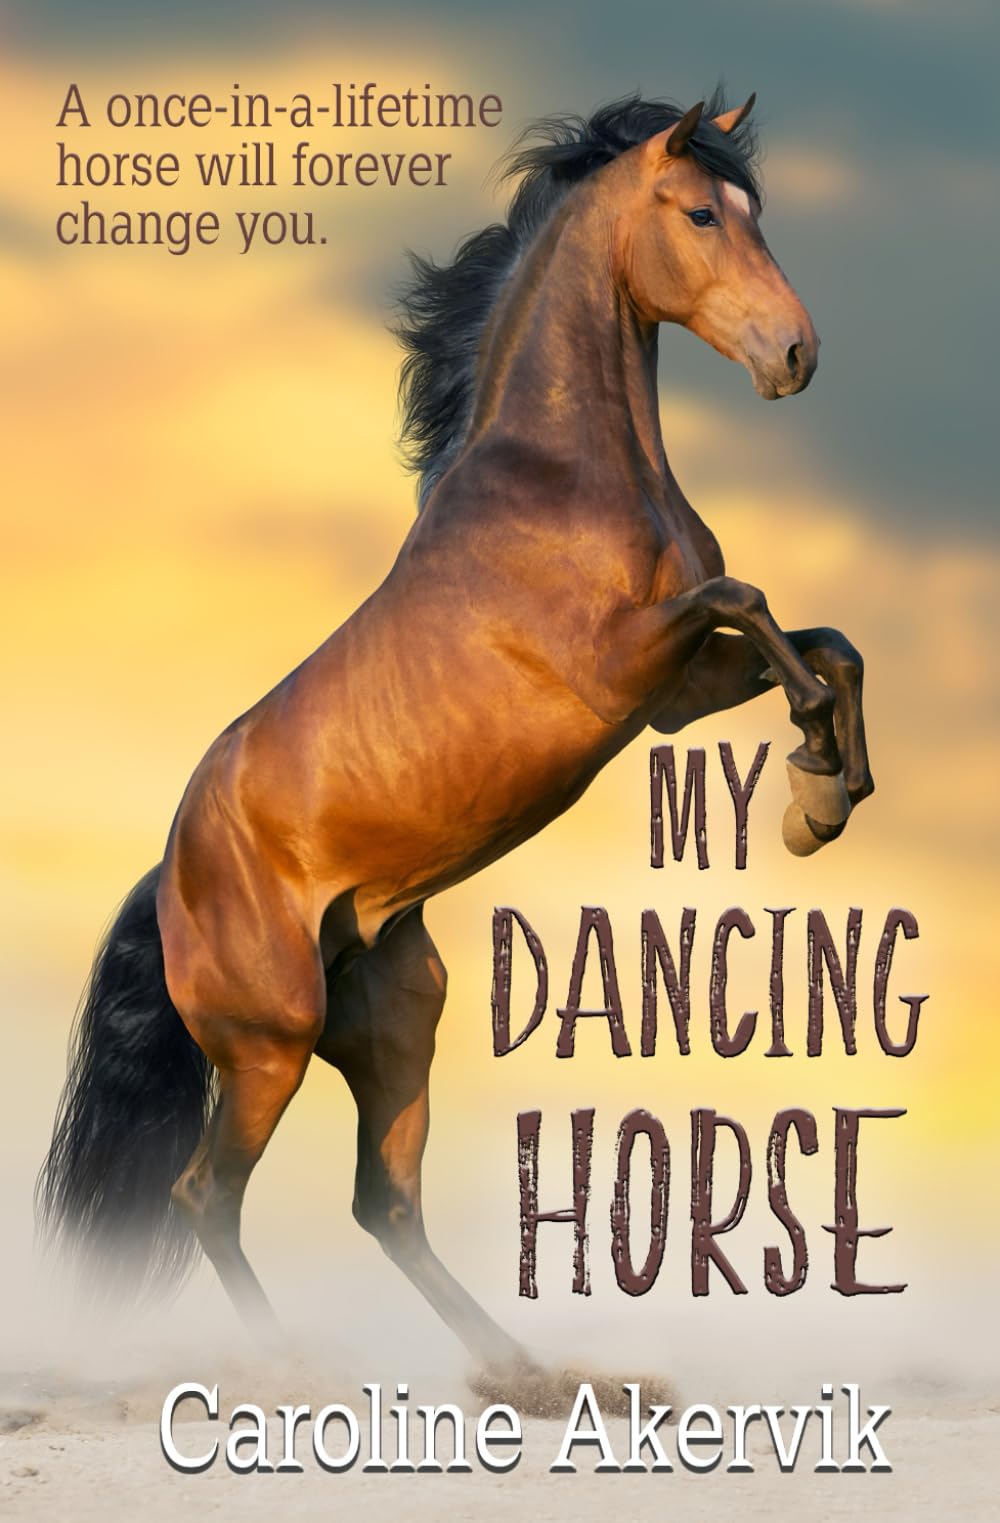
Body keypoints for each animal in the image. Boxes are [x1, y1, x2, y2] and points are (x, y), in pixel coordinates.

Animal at [37, 91, 873, 1397]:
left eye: (754, 211)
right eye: (699, 213)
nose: (794, 355)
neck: (562, 478)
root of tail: (170, 874)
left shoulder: (675, 693)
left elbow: (825, 643)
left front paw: (821, 795)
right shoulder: (620, 671)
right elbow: (753, 600)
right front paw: (815, 785)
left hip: (396, 1022)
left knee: (384, 1201)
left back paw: (527, 1371)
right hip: (268, 1045)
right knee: (205, 1195)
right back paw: (302, 1368)